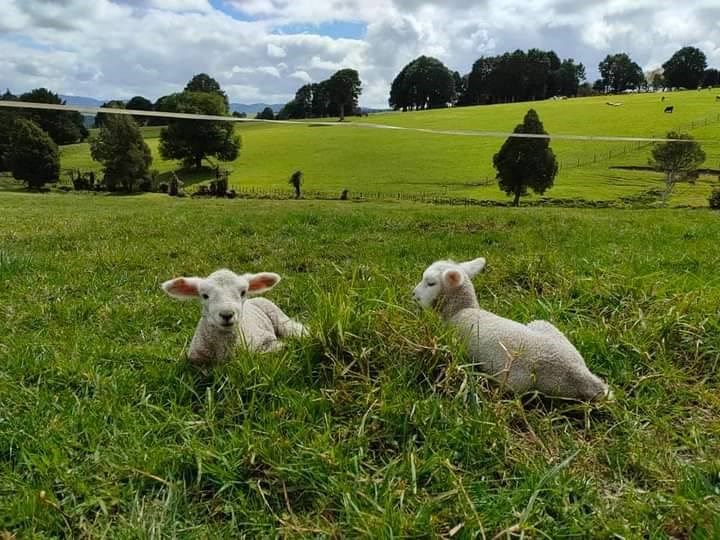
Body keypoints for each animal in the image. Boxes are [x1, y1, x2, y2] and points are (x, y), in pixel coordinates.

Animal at [412, 258, 612, 402]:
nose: (413, 295)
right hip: (545, 326)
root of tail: (579, 373)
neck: (462, 310)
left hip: (511, 380)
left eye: (431, 283)